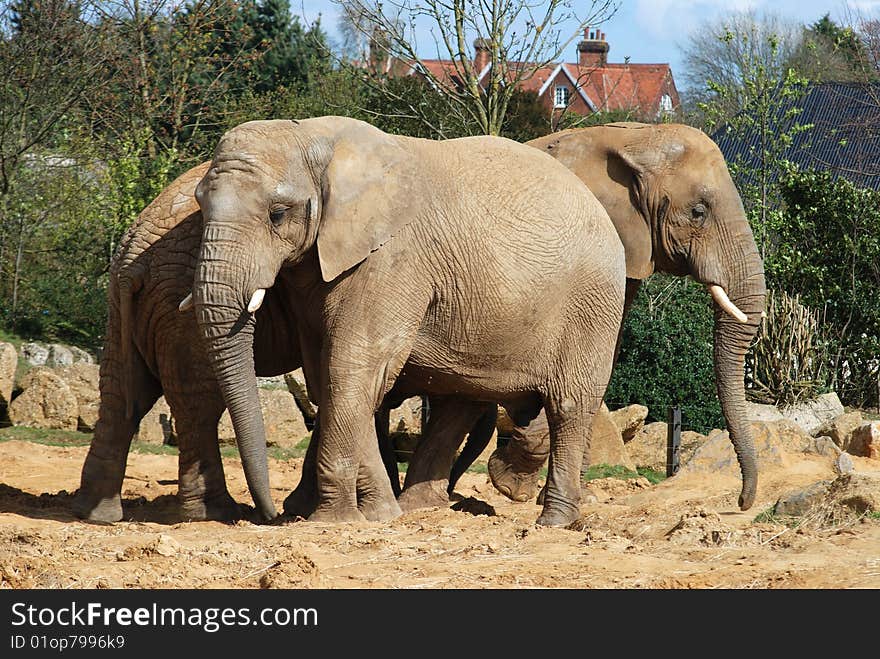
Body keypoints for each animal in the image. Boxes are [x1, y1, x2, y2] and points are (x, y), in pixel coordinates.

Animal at [191, 116, 624, 528]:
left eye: (277, 214)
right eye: (200, 203)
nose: (265, 515)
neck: (314, 136)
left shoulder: (392, 259)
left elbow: (353, 366)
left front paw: (334, 520)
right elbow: (326, 375)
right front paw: (381, 514)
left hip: (593, 306)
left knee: (569, 406)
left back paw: (553, 521)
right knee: (462, 398)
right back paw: (421, 509)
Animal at [484, 125, 768, 516]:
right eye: (698, 211)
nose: (741, 503)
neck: (632, 138)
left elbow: (606, 349)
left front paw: (578, 497)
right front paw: (510, 484)